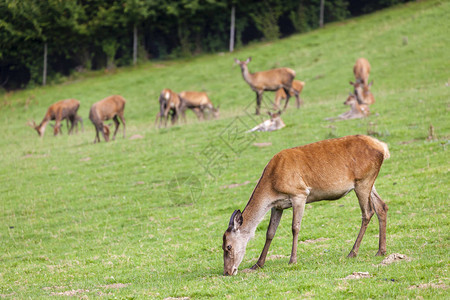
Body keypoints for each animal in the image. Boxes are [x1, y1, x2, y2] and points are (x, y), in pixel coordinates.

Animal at [222, 135, 390, 276]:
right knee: (381, 206)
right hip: (369, 182)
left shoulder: (299, 194)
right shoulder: (277, 206)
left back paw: (352, 252)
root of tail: (382, 147)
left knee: (367, 212)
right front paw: (257, 264)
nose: (227, 272)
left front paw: (292, 260)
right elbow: (270, 232)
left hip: (362, 181)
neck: (272, 185)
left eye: (228, 246)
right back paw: (381, 251)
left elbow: (295, 228)